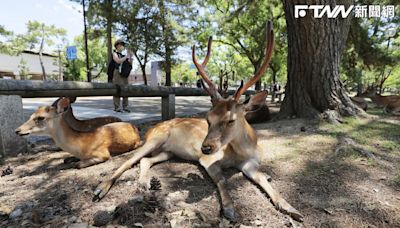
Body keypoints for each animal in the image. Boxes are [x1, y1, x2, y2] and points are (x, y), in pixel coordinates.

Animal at [94, 22, 304, 222]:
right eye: (208, 118)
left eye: (231, 120)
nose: (205, 147)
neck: (243, 151)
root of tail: (152, 128)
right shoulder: (208, 160)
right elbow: (222, 180)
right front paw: (229, 209)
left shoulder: (250, 163)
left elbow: (262, 178)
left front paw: (291, 208)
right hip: (155, 139)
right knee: (129, 160)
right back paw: (100, 189)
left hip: (168, 152)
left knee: (146, 160)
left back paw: (146, 183)